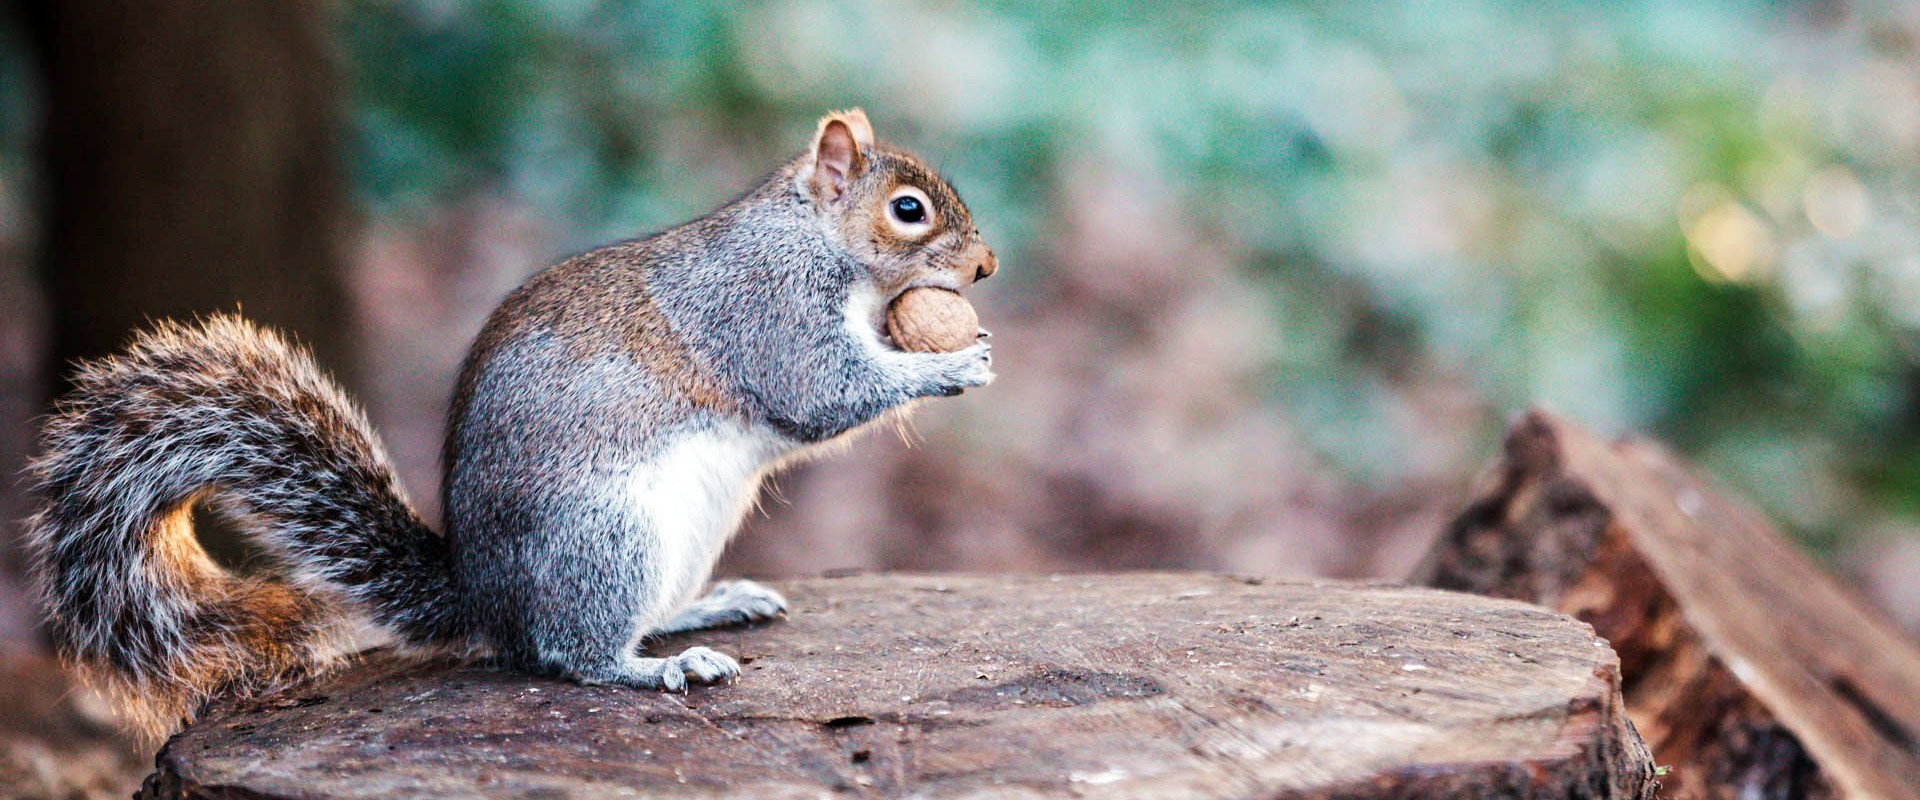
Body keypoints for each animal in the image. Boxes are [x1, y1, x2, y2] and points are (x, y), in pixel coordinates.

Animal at [24, 109, 998, 738]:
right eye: (908, 210)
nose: (986, 266)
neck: (815, 241)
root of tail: (484, 596)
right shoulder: (767, 313)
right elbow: (824, 391)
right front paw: (950, 365)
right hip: (604, 538)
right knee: (567, 654)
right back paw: (660, 666)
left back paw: (711, 608)